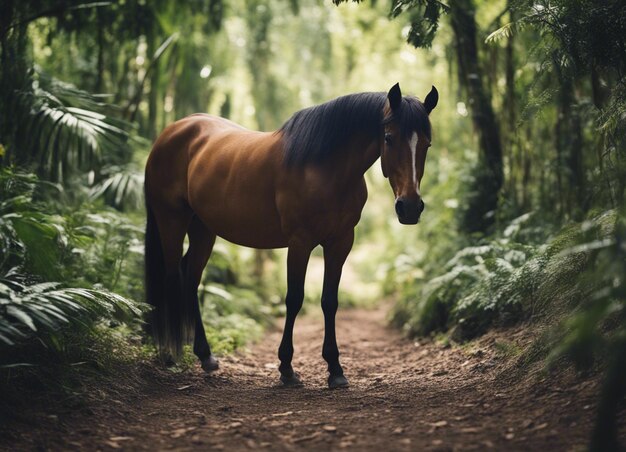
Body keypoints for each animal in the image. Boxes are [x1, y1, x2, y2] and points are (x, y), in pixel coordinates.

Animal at [145, 84, 438, 388]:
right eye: (389, 138)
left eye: (427, 144)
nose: (410, 207)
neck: (325, 168)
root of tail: (173, 131)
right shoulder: (300, 242)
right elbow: (294, 298)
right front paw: (286, 368)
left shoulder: (341, 242)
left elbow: (329, 301)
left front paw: (335, 369)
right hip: (171, 220)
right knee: (171, 277)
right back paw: (170, 354)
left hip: (203, 228)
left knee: (190, 279)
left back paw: (205, 356)